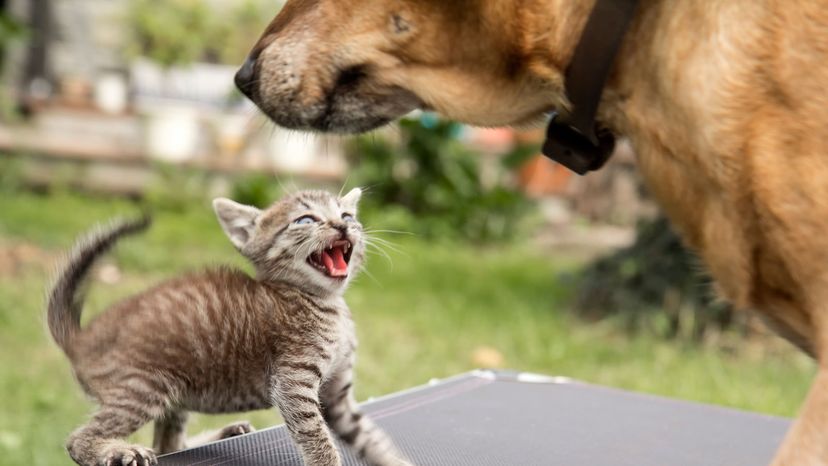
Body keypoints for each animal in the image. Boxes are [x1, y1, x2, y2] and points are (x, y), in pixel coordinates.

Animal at [47, 188, 410, 466]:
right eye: (306, 220)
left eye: (347, 216)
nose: (341, 226)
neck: (326, 304)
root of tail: (83, 337)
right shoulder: (292, 385)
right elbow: (318, 438)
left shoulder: (337, 399)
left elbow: (370, 437)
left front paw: (394, 460)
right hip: (144, 387)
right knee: (80, 439)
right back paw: (117, 451)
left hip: (174, 394)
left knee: (168, 446)